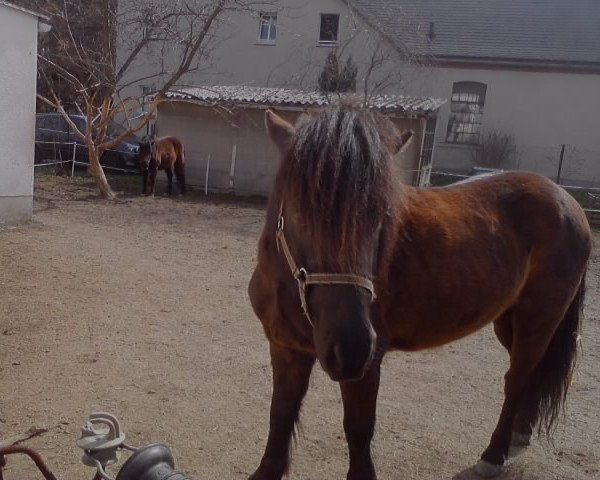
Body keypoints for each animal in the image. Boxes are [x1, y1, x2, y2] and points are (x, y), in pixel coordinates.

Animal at [247, 107, 592, 478]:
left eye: (381, 214)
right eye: (300, 210)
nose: (352, 346)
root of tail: (567, 201)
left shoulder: (368, 362)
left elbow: (358, 427)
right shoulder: (285, 346)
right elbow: (280, 412)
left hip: (538, 319)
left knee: (517, 378)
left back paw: (494, 455)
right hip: (508, 322)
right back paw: (520, 432)